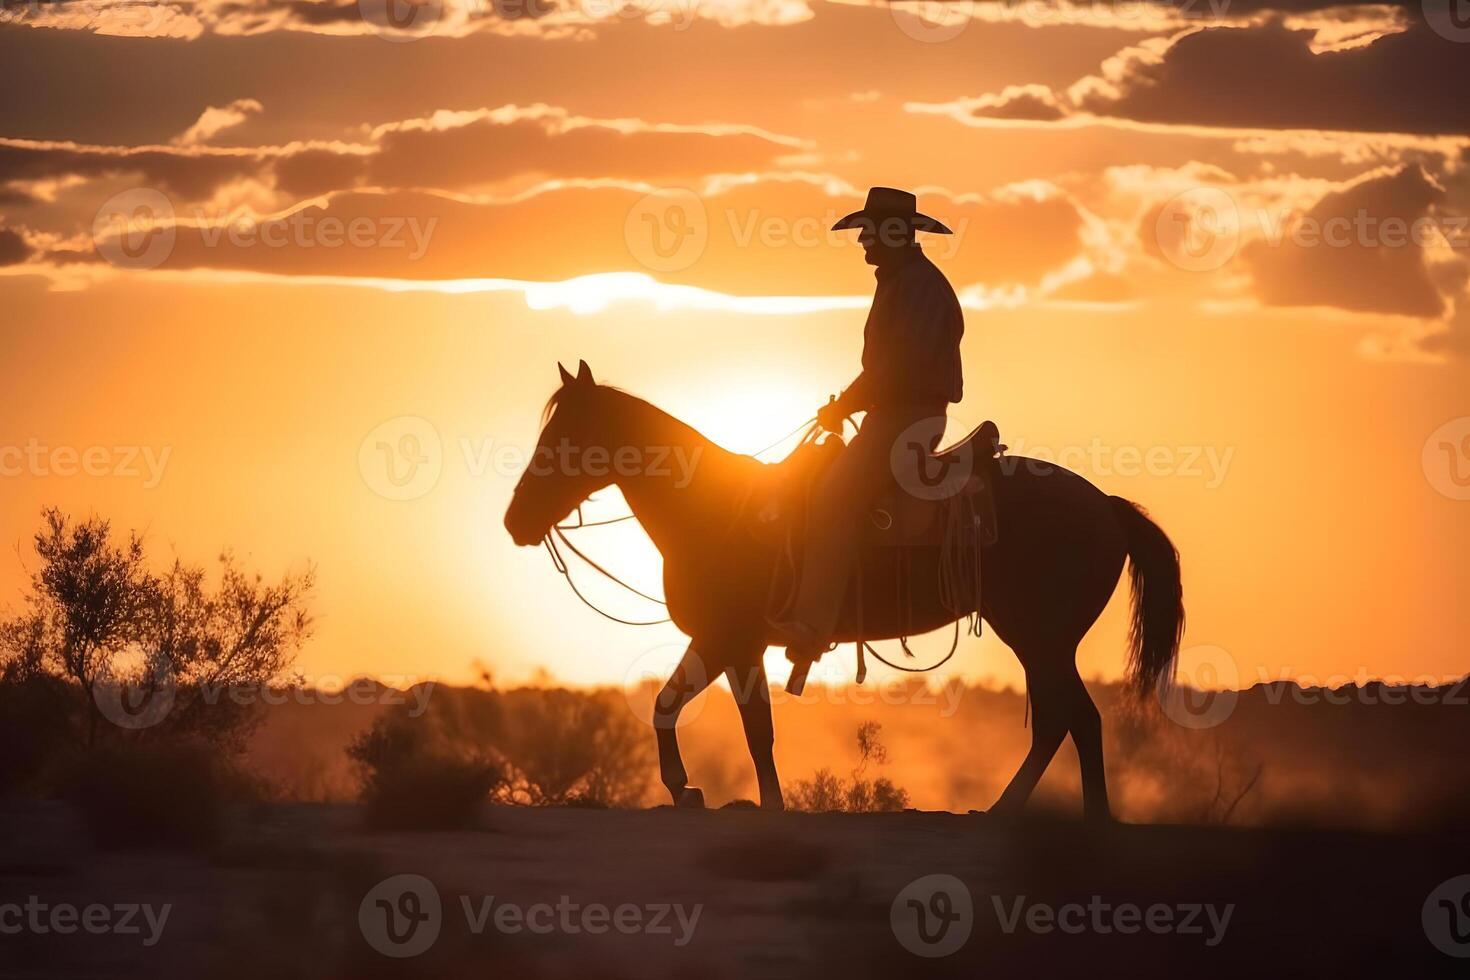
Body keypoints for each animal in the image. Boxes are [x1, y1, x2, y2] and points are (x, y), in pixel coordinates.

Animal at [505, 359, 1181, 822]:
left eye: (565, 435)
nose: (516, 521)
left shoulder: (728, 639)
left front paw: (714, 794)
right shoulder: (730, 643)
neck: (716, 510)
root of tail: (1106, 505)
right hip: (1041, 642)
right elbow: (704, 715)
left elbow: (717, 720)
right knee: (1061, 723)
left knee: (1074, 719)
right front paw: (709, 794)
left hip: (1041, 638)